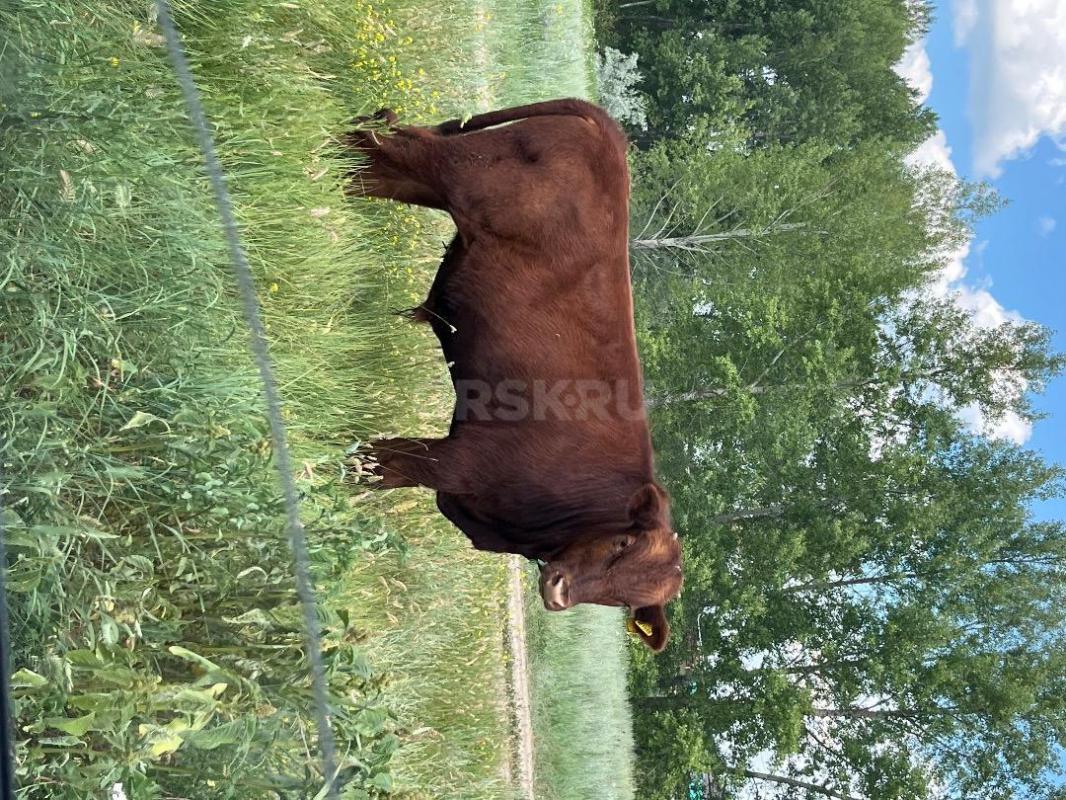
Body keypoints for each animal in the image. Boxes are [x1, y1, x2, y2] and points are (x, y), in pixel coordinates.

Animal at [345, 99, 682, 652]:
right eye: (622, 542)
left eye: (625, 600)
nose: (559, 589)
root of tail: (608, 133)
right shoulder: (457, 461)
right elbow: (369, 463)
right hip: (455, 172)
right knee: (386, 143)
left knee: (372, 157)